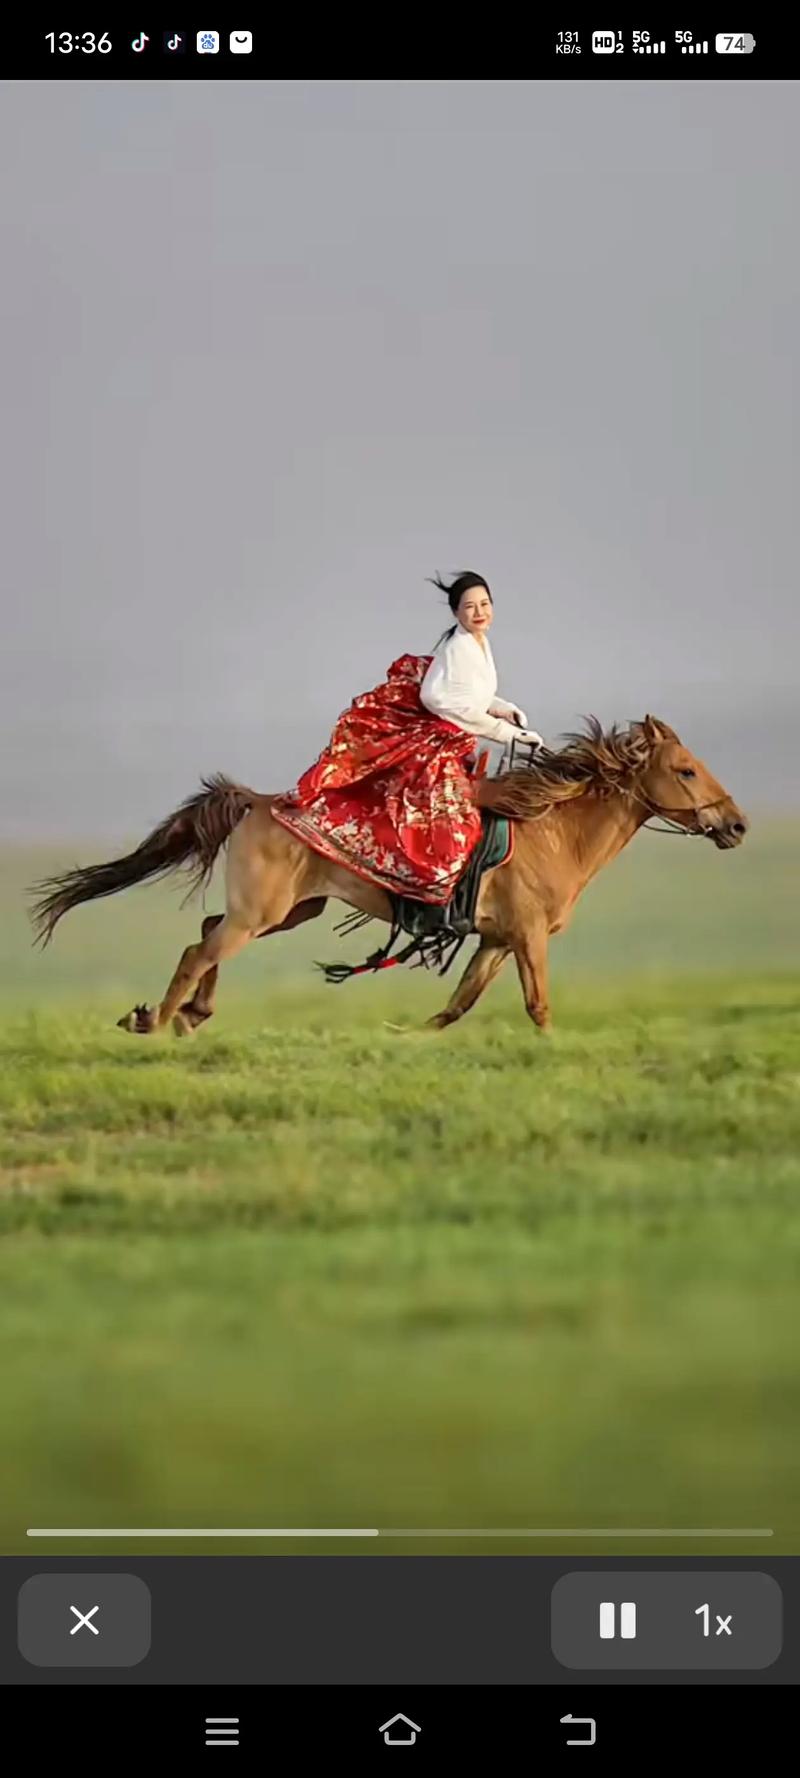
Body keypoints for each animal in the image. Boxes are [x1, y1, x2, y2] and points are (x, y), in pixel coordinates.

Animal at [29, 714, 743, 1038]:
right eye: (684, 770)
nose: (735, 825)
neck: (553, 832)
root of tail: (257, 800)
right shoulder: (528, 936)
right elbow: (537, 1005)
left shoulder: (495, 939)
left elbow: (453, 1008)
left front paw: (405, 1039)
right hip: (263, 913)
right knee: (195, 950)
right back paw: (158, 1025)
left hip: (289, 911)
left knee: (204, 931)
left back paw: (183, 1016)